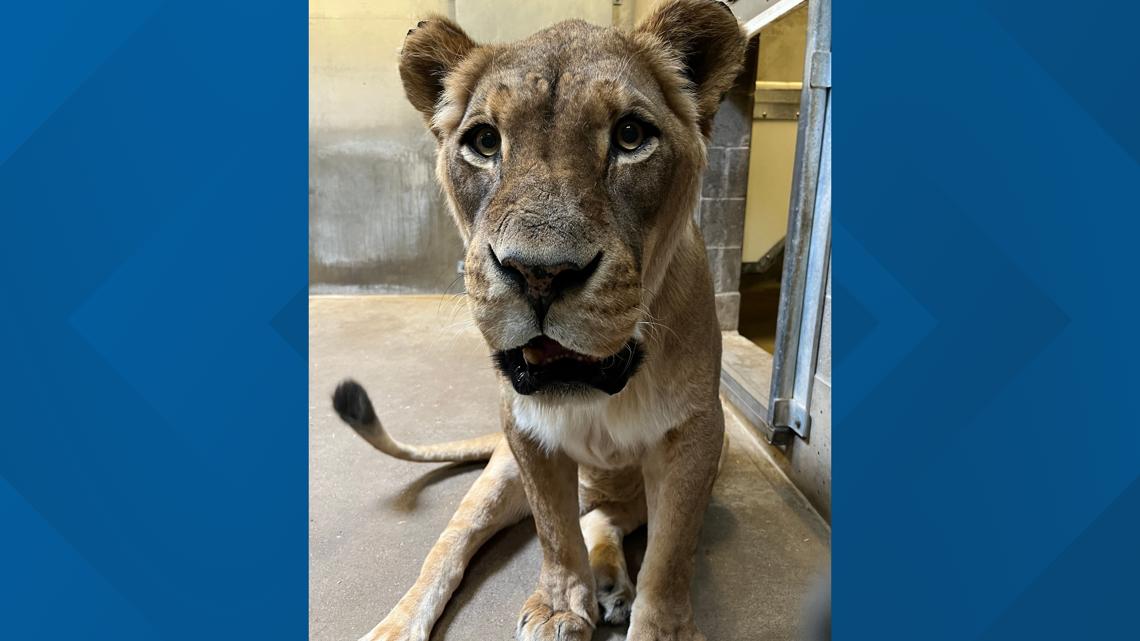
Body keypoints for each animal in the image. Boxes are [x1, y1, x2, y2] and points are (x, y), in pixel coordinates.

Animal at [332, 1, 747, 639]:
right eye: (484, 141)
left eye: (630, 136)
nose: (540, 274)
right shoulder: (523, 428)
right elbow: (553, 528)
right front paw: (559, 605)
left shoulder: (698, 432)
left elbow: (671, 552)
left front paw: (660, 626)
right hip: (496, 476)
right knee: (450, 544)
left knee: (603, 514)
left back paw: (612, 585)